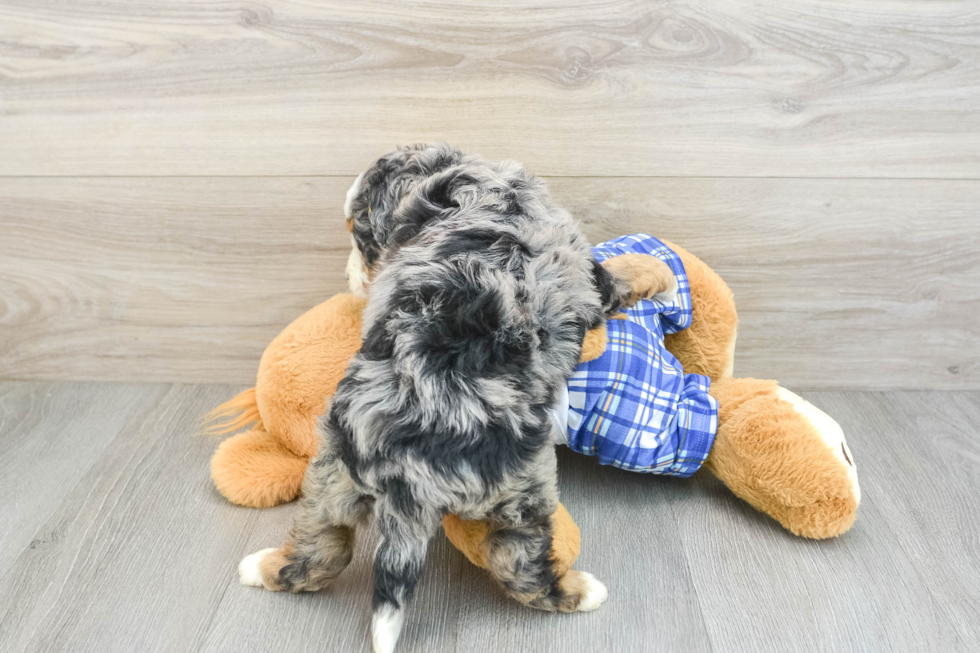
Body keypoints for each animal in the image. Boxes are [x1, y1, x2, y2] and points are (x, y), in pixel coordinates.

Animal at [241, 144, 648, 652]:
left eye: (357, 235)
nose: (351, 278)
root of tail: (408, 467)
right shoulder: (587, 276)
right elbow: (614, 276)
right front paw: (653, 271)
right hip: (526, 485)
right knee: (517, 563)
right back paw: (583, 591)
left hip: (331, 470)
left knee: (321, 550)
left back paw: (260, 568)